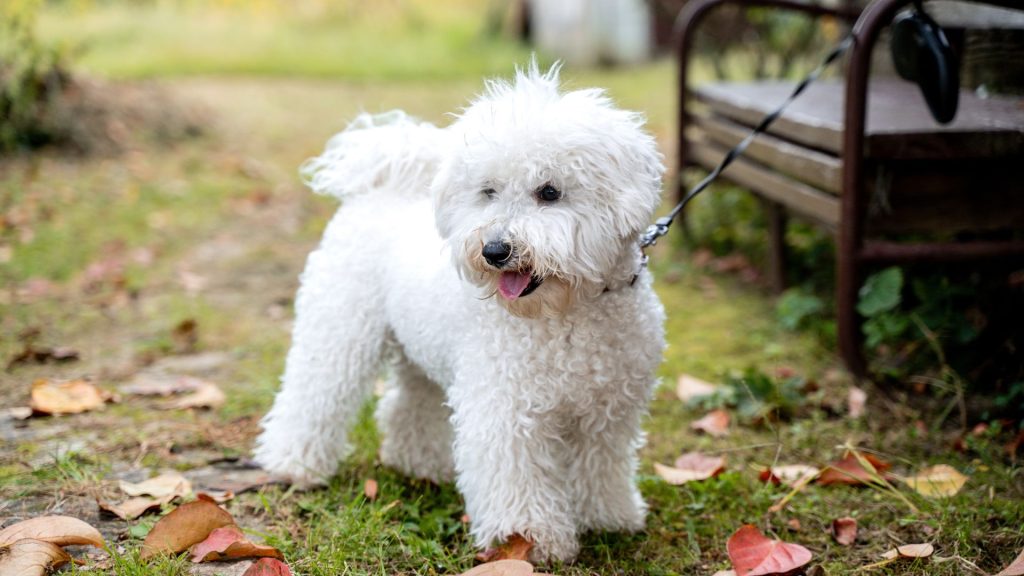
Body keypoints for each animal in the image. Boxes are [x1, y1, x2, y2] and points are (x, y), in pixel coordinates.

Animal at [256, 63, 667, 561]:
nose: (494, 250)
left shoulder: (609, 412)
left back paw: (417, 462)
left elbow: (601, 466)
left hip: (420, 351)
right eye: (488, 191)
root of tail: (380, 190)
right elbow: (516, 476)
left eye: (550, 192)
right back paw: (293, 463)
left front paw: (608, 518)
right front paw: (527, 538)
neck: (565, 313)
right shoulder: (506, 408)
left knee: (407, 404)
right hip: (339, 330)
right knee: (314, 394)